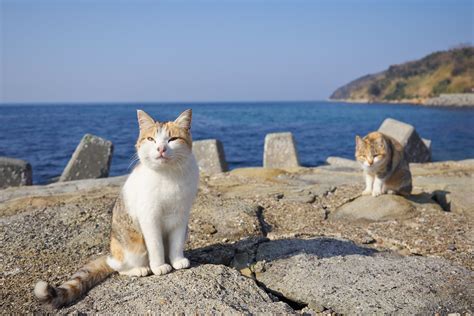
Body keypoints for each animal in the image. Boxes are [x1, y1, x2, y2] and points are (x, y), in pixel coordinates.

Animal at [33, 109, 200, 308]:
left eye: (173, 139)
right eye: (151, 139)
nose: (161, 149)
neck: (168, 176)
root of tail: (111, 254)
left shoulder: (181, 216)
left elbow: (176, 243)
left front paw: (177, 261)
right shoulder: (149, 218)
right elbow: (156, 245)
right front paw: (159, 266)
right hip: (133, 248)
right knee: (119, 268)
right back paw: (140, 269)